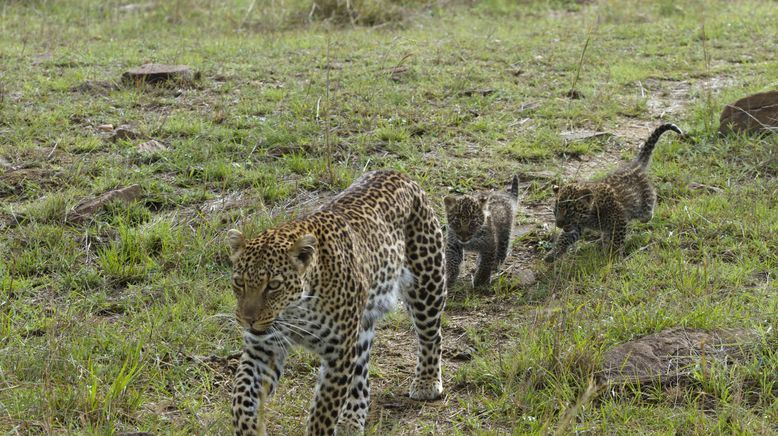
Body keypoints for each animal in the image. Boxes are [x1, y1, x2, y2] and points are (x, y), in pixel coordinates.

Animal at [224, 169, 446, 434]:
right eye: (239, 282)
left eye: (273, 285)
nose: (248, 320)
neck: (297, 311)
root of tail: (396, 172)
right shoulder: (263, 350)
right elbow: (241, 398)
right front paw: (249, 428)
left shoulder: (338, 355)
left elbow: (323, 413)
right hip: (362, 326)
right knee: (361, 373)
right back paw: (351, 418)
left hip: (427, 283)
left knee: (431, 335)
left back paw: (427, 382)